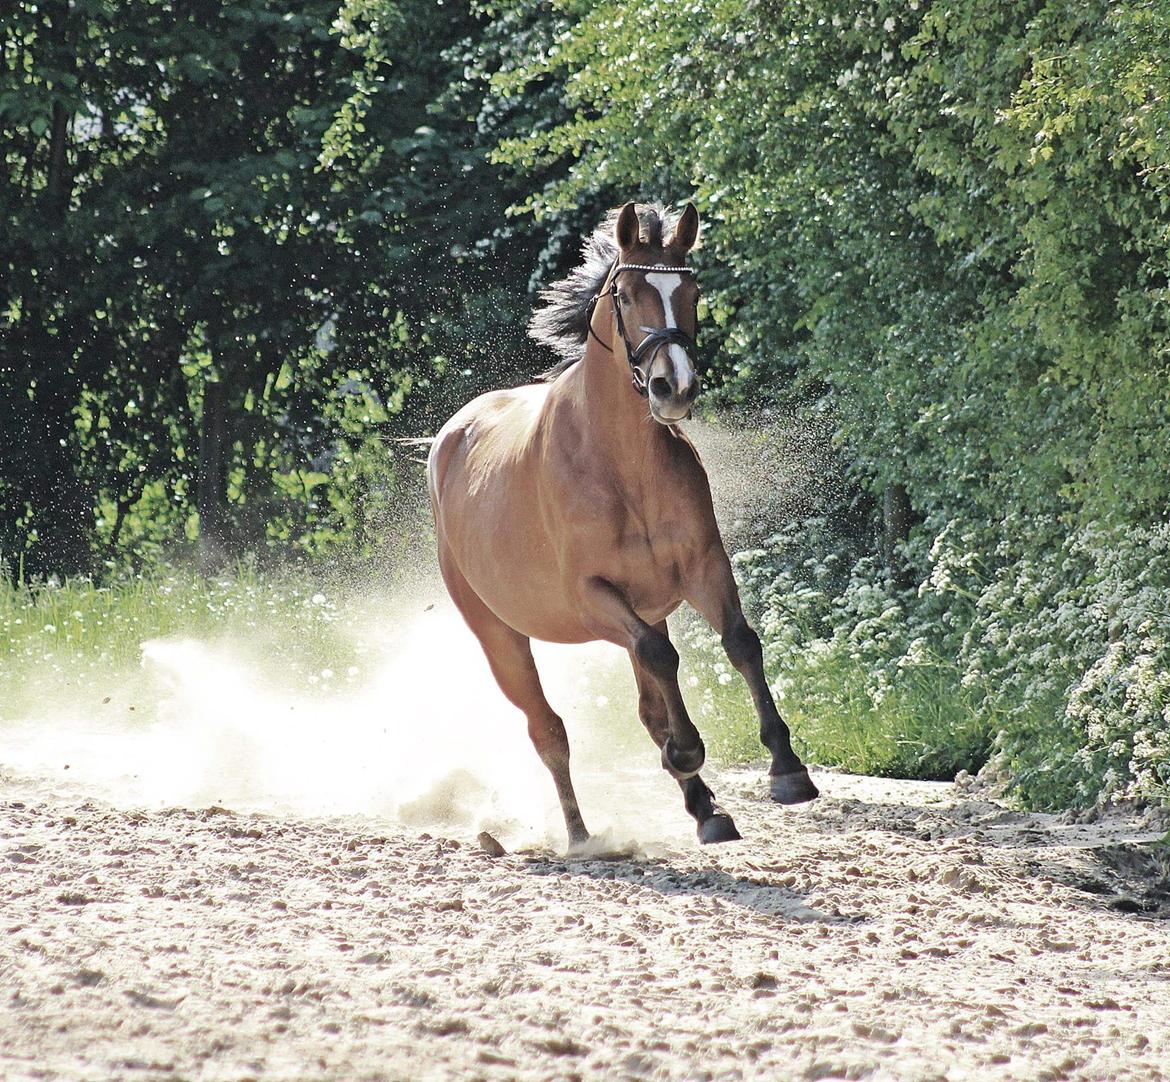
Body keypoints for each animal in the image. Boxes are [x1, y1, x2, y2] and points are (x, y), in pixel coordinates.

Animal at [425, 198, 819, 846]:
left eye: (692, 290)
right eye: (629, 294)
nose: (674, 386)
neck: (620, 463)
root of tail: (448, 441)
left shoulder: (702, 569)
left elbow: (739, 642)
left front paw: (787, 771)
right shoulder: (592, 598)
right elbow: (662, 665)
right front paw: (687, 752)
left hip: (644, 610)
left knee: (647, 702)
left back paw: (706, 810)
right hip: (500, 635)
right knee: (548, 730)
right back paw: (582, 835)